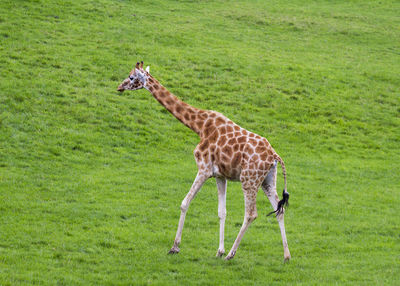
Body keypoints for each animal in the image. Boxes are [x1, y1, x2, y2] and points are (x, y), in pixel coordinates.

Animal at [117, 61, 290, 260]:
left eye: (131, 77)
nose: (119, 87)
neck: (199, 126)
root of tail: (275, 157)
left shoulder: (204, 169)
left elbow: (185, 203)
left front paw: (175, 247)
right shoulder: (220, 175)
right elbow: (222, 212)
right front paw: (219, 250)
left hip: (249, 179)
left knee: (251, 214)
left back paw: (232, 254)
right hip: (267, 180)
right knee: (279, 209)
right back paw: (286, 256)